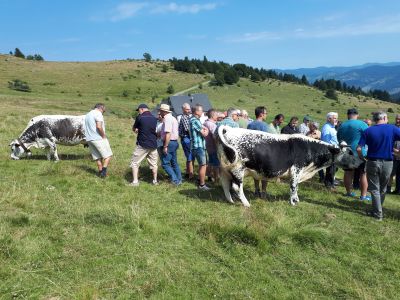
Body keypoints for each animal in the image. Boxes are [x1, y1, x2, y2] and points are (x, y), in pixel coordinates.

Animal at [217, 125, 360, 207]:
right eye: (350, 152)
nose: (361, 162)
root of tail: (230, 129)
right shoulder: (297, 169)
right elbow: (293, 186)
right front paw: (293, 202)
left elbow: (296, 187)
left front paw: (296, 200)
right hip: (238, 169)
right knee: (236, 187)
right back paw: (246, 204)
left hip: (225, 169)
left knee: (225, 184)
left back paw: (230, 201)